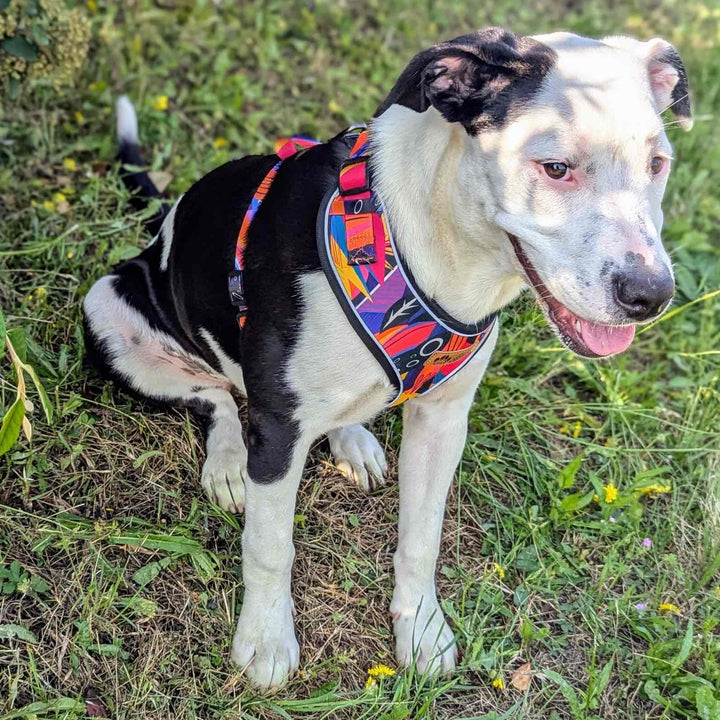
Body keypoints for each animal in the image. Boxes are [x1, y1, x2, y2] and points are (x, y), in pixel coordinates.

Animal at [83, 28, 692, 688]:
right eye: (555, 168)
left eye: (658, 165)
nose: (652, 295)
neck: (432, 247)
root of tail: (163, 225)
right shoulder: (278, 428)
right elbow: (270, 546)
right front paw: (266, 639)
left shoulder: (443, 420)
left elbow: (422, 537)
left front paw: (419, 628)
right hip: (108, 313)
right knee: (216, 396)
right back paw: (226, 462)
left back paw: (351, 438)